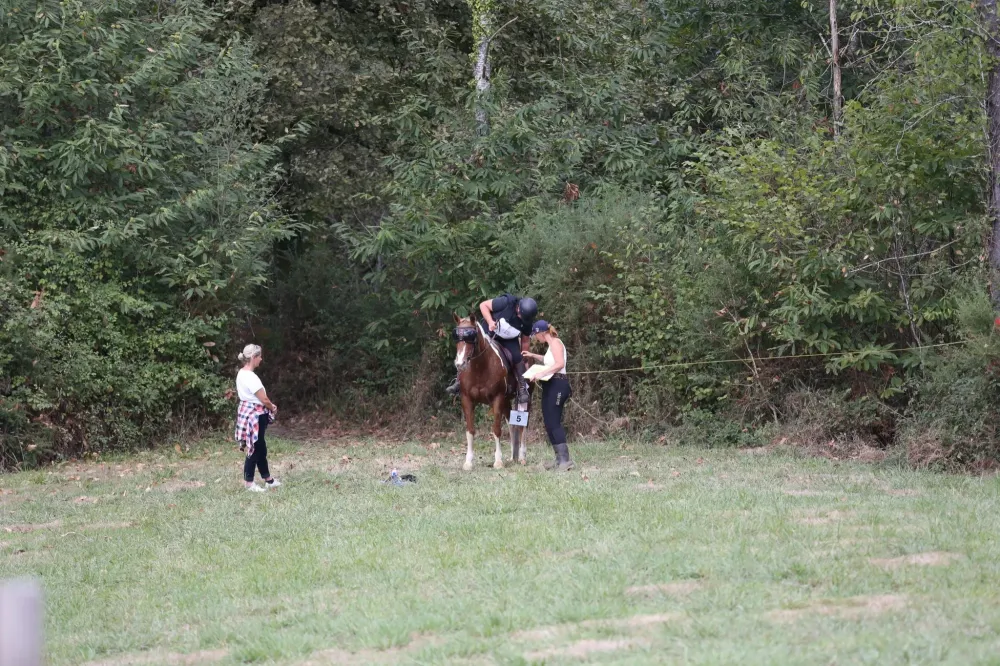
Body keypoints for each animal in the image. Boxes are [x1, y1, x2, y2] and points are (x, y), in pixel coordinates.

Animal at [452, 312, 529, 470]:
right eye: (457, 337)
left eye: (471, 336)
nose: (460, 363)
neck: (480, 367)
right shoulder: (467, 400)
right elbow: (470, 430)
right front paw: (468, 462)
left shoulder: (497, 399)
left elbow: (496, 429)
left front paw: (498, 461)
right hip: (506, 401)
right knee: (511, 424)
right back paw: (513, 456)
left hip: (521, 401)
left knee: (523, 426)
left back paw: (522, 457)